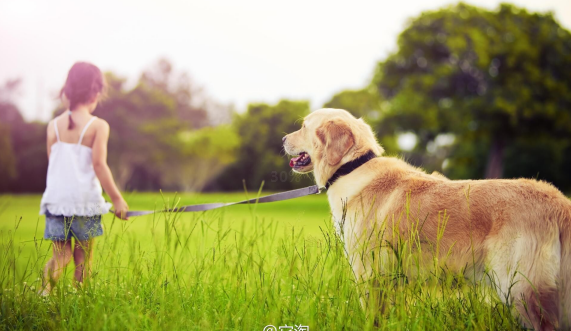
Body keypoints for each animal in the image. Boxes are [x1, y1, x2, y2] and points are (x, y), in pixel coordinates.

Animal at [284, 109, 571, 331]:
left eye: (303, 126)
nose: (283, 138)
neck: (351, 167)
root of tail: (559, 202)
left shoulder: (368, 272)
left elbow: (372, 317)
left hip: (521, 289)